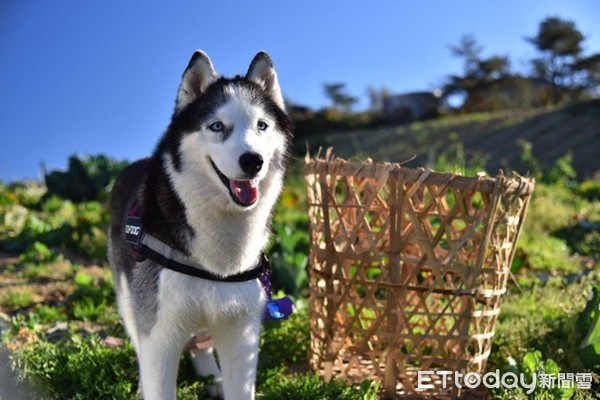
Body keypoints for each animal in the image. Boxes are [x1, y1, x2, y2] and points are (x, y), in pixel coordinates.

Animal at [110, 50, 296, 400]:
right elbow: (155, 372)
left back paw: (212, 376)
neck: (218, 263)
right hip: (128, 298)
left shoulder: (241, 332)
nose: (253, 161)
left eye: (262, 126)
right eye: (217, 126)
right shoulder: (159, 333)